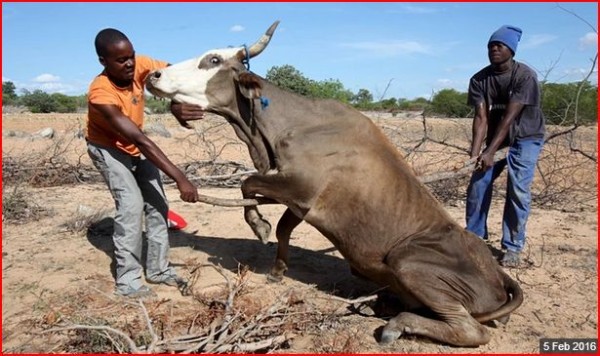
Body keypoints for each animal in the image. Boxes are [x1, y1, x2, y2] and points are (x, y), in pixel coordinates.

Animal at [145, 20, 520, 346]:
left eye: (213, 60)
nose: (154, 74)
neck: (283, 129)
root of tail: (499, 276)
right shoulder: (300, 200)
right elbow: (281, 225)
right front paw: (277, 267)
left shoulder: (300, 186)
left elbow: (247, 184)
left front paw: (258, 226)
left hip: (408, 263)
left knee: (469, 330)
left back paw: (396, 325)